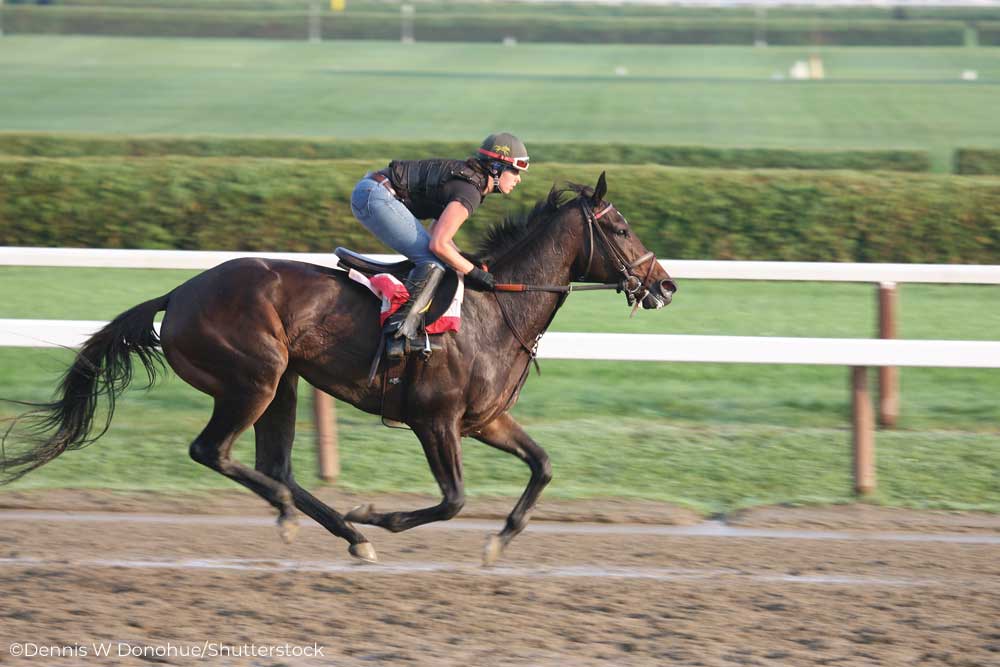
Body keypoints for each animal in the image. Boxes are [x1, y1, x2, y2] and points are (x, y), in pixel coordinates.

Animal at [1, 172, 672, 564]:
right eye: (620, 227)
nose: (665, 285)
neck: (495, 308)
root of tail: (180, 292)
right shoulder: (435, 421)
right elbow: (453, 499)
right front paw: (380, 514)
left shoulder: (484, 421)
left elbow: (543, 465)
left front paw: (498, 539)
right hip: (253, 377)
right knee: (215, 452)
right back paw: (310, 517)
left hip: (284, 383)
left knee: (275, 464)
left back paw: (341, 532)